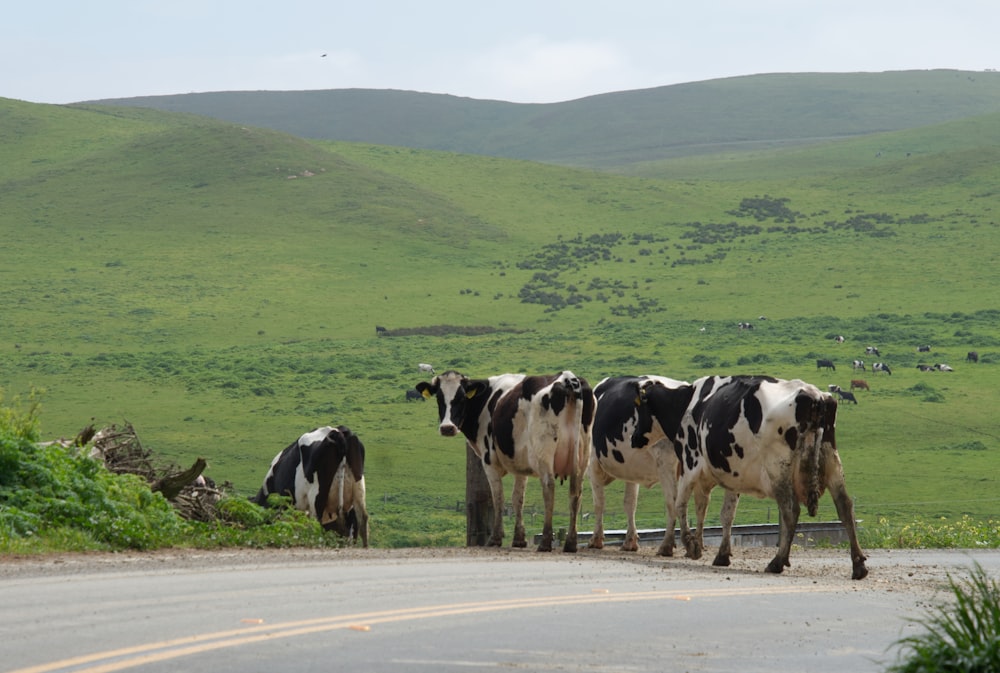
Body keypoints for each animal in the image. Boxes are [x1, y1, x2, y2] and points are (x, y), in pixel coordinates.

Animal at [418, 368, 596, 552]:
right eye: (439, 398)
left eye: (461, 397)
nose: (447, 428)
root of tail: (569, 378)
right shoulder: (520, 465)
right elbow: (517, 499)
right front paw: (519, 539)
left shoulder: (489, 461)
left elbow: (498, 498)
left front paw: (495, 538)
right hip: (583, 455)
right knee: (576, 492)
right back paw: (571, 542)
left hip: (544, 452)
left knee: (549, 487)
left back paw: (546, 541)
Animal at [584, 376, 696, 552]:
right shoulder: (631, 470)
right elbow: (630, 503)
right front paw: (630, 541)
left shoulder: (593, 464)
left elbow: (599, 503)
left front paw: (596, 540)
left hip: (666, 464)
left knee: (672, 501)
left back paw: (667, 545)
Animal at [636, 376, 872, 580]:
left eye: (636, 407)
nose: (635, 438)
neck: (688, 403)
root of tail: (815, 396)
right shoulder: (730, 475)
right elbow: (722, 513)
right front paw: (719, 553)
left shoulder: (689, 461)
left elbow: (680, 504)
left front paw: (692, 546)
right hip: (832, 462)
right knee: (845, 507)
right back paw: (858, 564)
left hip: (778, 469)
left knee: (790, 510)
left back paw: (777, 561)